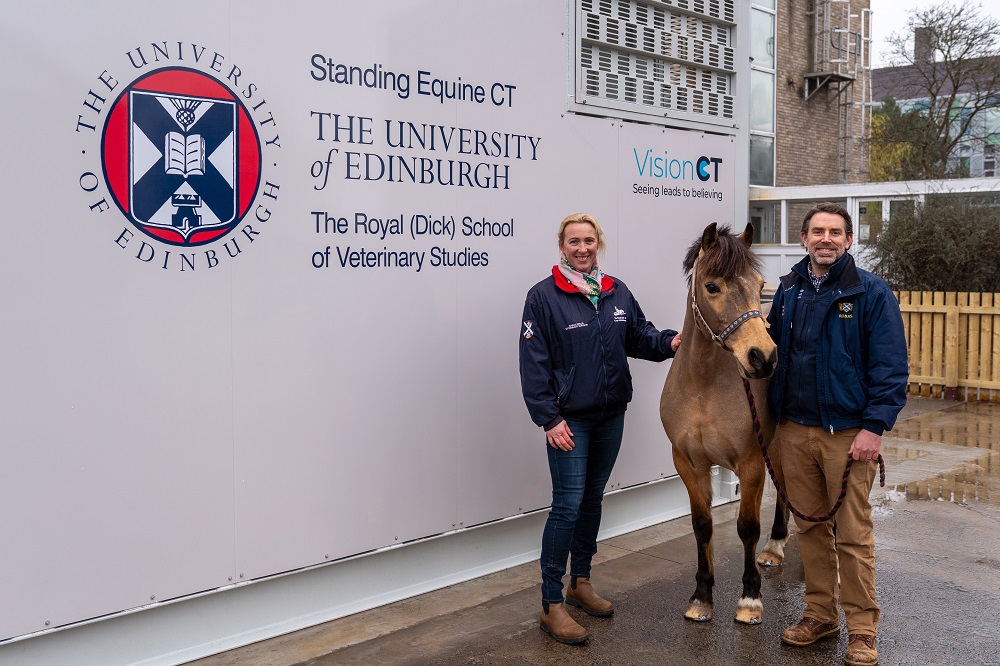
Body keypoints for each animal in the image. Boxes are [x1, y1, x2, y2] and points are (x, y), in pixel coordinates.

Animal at [664, 222, 788, 624]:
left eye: (759, 283)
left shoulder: (750, 465)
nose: (763, 358)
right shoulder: (689, 464)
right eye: (712, 287)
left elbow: (747, 528)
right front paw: (702, 597)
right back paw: (776, 547)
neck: (704, 386)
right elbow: (702, 526)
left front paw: (750, 600)